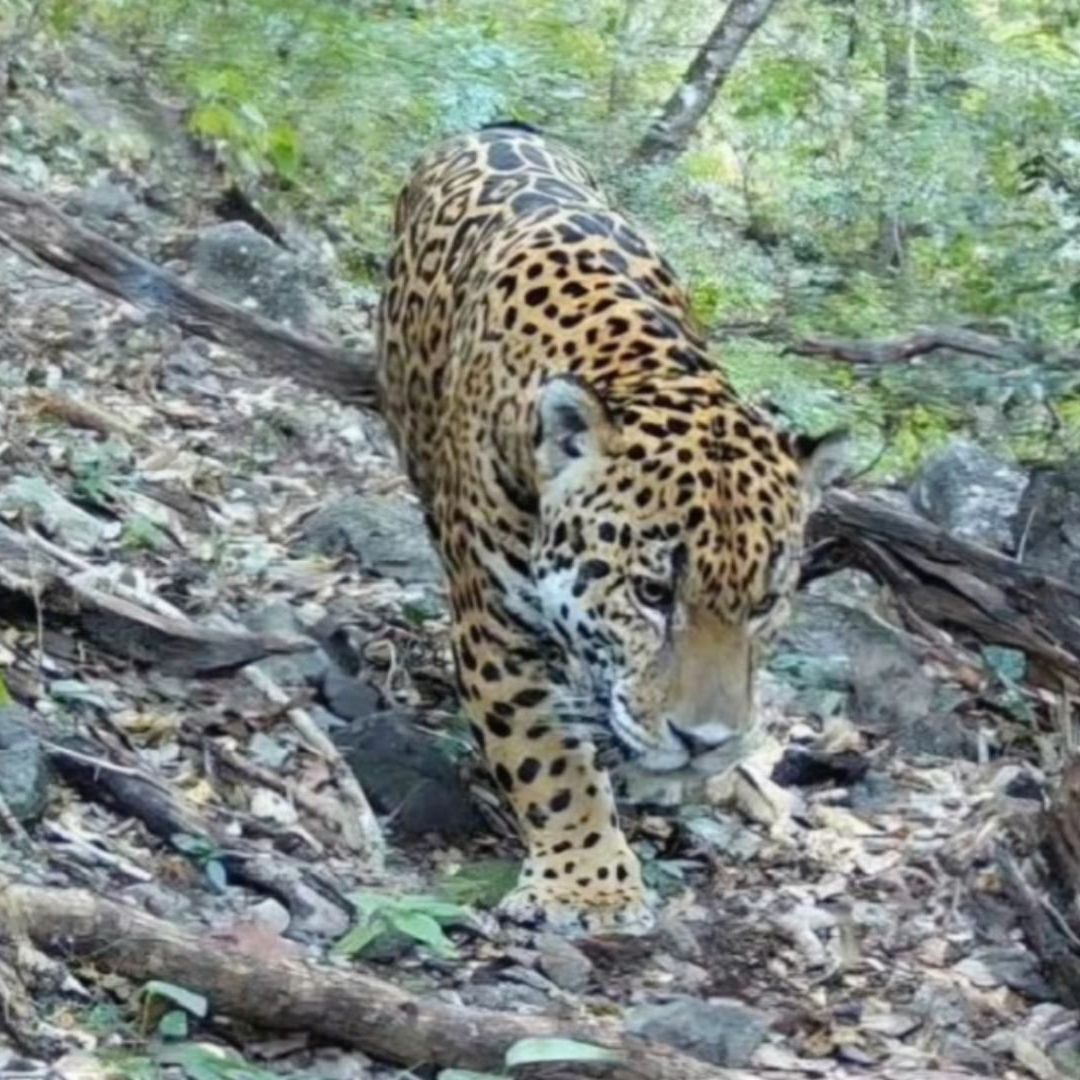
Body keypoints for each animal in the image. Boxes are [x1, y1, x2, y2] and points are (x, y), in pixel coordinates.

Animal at [376, 121, 844, 933]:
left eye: (762, 606)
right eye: (653, 595)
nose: (704, 744)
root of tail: (493, 129)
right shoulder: (496, 626)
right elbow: (548, 759)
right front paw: (588, 887)